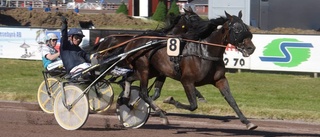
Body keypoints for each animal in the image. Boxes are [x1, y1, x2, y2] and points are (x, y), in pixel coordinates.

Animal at [122, 11, 258, 130]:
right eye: (237, 29)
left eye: (246, 28)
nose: (251, 48)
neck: (204, 52)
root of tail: (134, 40)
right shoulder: (187, 81)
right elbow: (193, 105)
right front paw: (170, 100)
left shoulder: (220, 80)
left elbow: (232, 101)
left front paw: (248, 122)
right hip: (144, 68)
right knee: (143, 93)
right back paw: (161, 114)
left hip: (152, 71)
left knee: (128, 79)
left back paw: (127, 101)